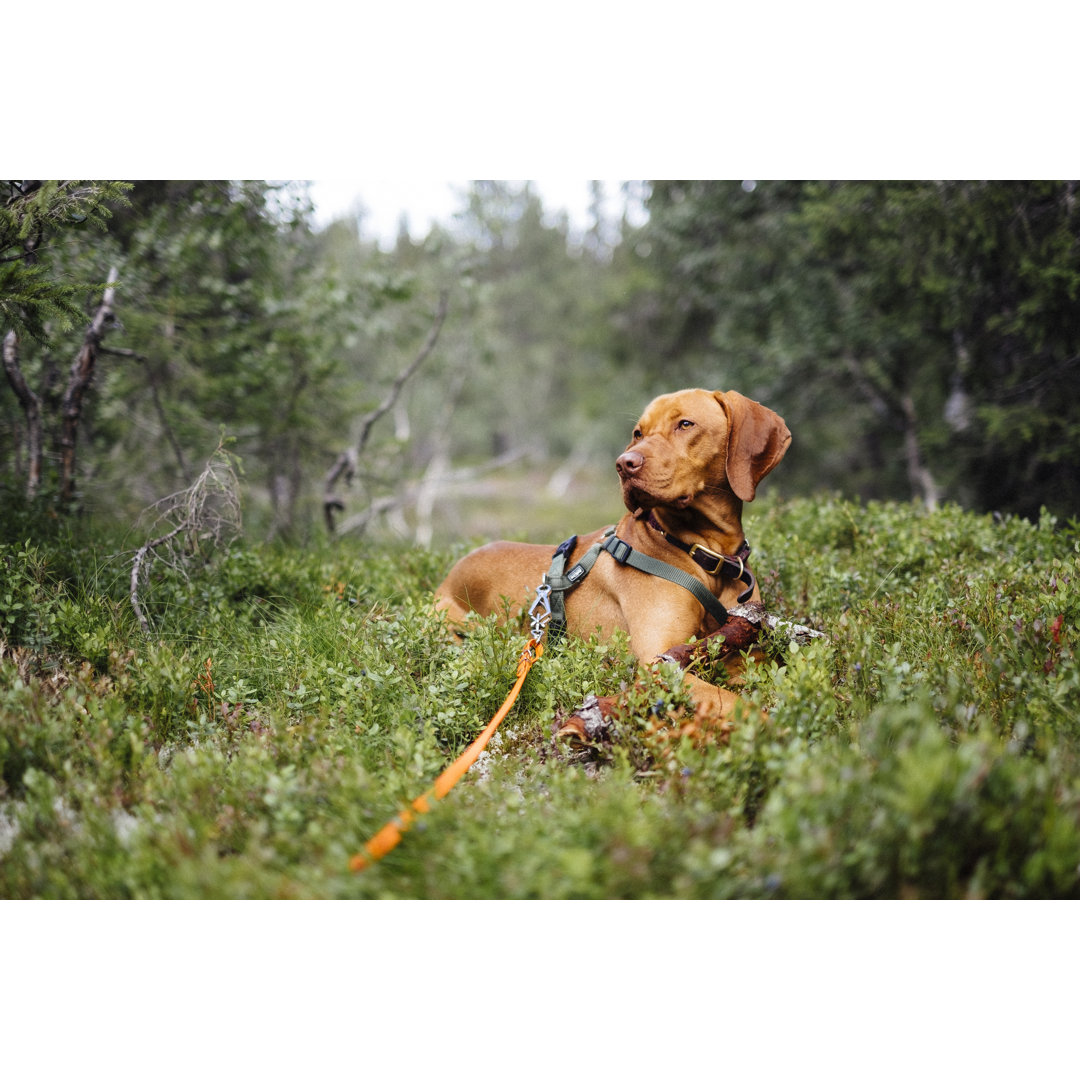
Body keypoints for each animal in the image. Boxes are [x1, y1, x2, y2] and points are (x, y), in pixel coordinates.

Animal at [432, 388, 794, 734]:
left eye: (685, 424)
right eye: (638, 433)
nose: (624, 464)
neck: (706, 554)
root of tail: (452, 570)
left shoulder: (745, 650)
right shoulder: (660, 661)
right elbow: (735, 702)